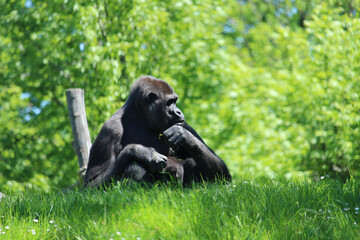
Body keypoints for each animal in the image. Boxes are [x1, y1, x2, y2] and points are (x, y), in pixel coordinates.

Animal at [84, 75, 231, 188]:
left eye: (175, 101)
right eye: (169, 102)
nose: (179, 111)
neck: (141, 119)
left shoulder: (185, 124)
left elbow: (222, 173)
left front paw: (184, 136)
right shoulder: (111, 129)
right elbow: (91, 183)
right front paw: (141, 151)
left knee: (193, 161)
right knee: (135, 165)